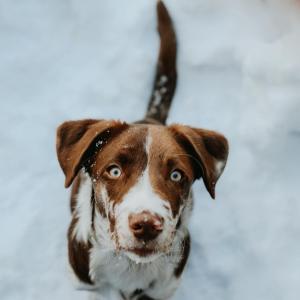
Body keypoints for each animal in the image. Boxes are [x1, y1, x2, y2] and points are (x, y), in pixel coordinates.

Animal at [56, 1, 229, 298]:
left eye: (176, 175)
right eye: (114, 170)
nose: (147, 225)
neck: (130, 267)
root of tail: (150, 118)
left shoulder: (164, 289)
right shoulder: (83, 283)